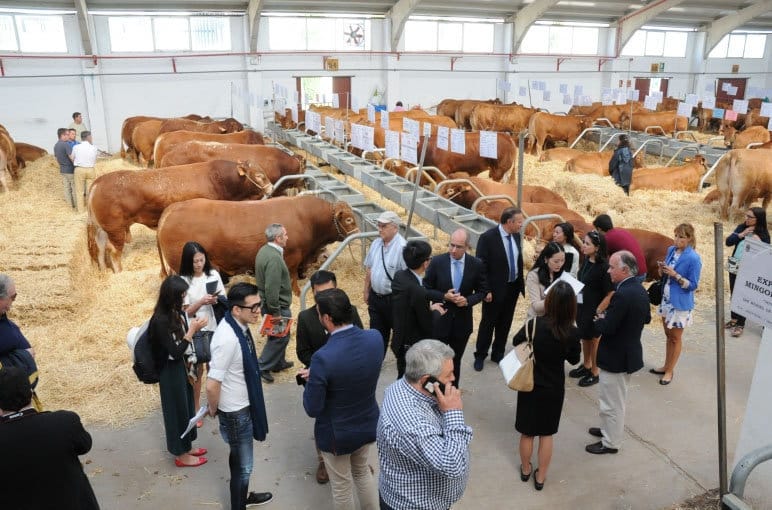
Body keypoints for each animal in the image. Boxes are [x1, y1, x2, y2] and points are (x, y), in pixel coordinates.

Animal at [86, 160, 272, 272]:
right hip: (115, 229)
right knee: (112, 250)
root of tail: (97, 183)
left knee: (100, 247)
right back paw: (119, 272)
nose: (270, 189)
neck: (218, 179)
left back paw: (103, 269)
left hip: (102, 228)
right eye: (259, 176)